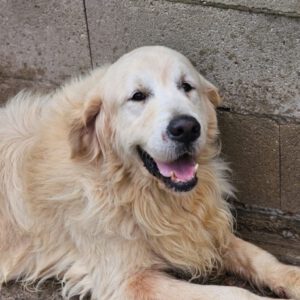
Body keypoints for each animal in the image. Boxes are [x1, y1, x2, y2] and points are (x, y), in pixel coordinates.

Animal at [0, 45, 298, 298]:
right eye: (138, 96)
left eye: (186, 86)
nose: (186, 128)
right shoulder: (129, 281)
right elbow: (235, 293)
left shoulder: (203, 227)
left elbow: (258, 256)